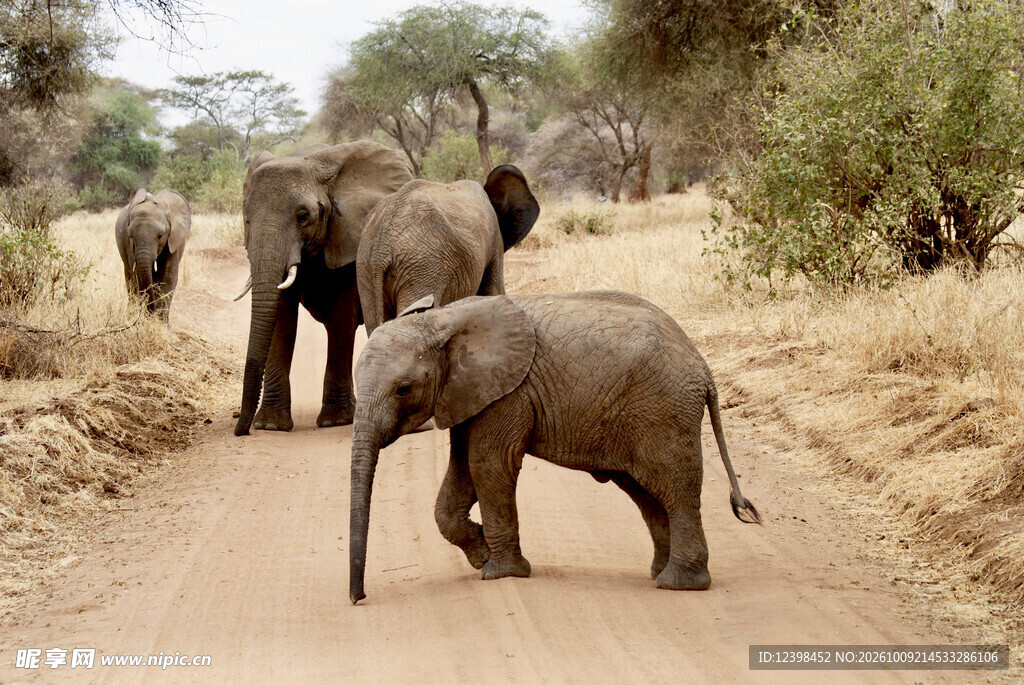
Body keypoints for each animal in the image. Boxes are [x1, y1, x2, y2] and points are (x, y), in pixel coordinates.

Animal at [115, 188, 191, 321]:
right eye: (131, 236)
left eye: (160, 236)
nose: (152, 311)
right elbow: (139, 276)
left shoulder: (174, 239)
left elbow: (169, 275)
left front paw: (161, 323)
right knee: (130, 277)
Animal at [232, 141, 413, 437]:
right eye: (247, 220)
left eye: (303, 216)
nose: (242, 430)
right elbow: (281, 315)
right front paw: (270, 425)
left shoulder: (348, 233)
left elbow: (342, 313)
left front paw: (335, 422)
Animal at [348, 290, 761, 604]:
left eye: (404, 389)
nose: (359, 598)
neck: (442, 320)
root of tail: (704, 367)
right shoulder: (470, 393)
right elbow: (464, 468)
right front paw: (481, 555)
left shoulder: (508, 393)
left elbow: (488, 464)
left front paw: (500, 573)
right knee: (647, 495)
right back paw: (660, 572)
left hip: (663, 410)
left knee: (675, 490)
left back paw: (679, 584)